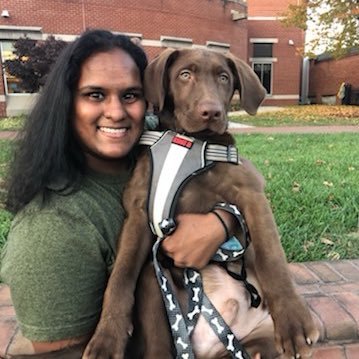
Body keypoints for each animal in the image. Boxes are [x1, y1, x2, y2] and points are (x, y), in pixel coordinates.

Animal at [83, 48, 320, 359]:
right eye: (185, 74)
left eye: (224, 77)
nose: (212, 111)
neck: (190, 143)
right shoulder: (138, 211)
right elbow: (120, 277)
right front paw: (106, 339)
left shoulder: (252, 193)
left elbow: (272, 257)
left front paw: (294, 323)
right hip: (153, 283)